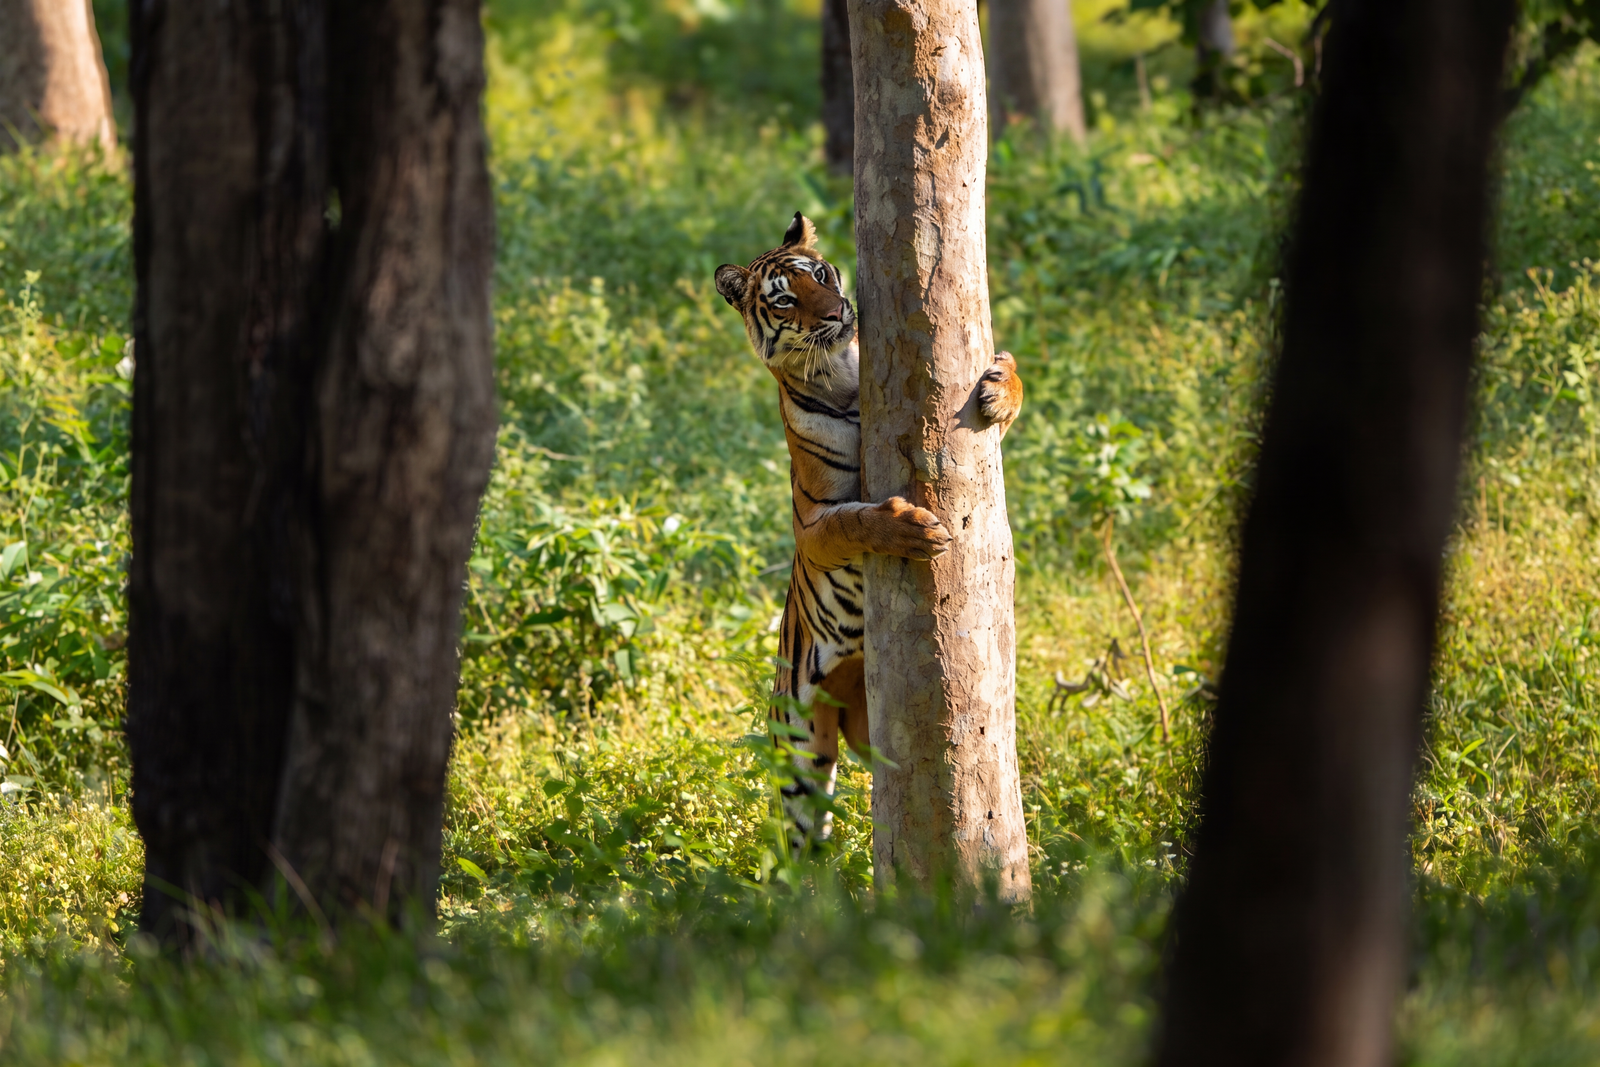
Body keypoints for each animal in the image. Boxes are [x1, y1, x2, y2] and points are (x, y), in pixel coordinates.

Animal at [714, 212, 1023, 847]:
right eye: (784, 301)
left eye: (820, 275)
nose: (837, 312)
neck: (843, 371)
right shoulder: (812, 524)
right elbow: (854, 521)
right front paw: (913, 533)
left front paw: (1000, 385)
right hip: (799, 752)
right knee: (800, 844)